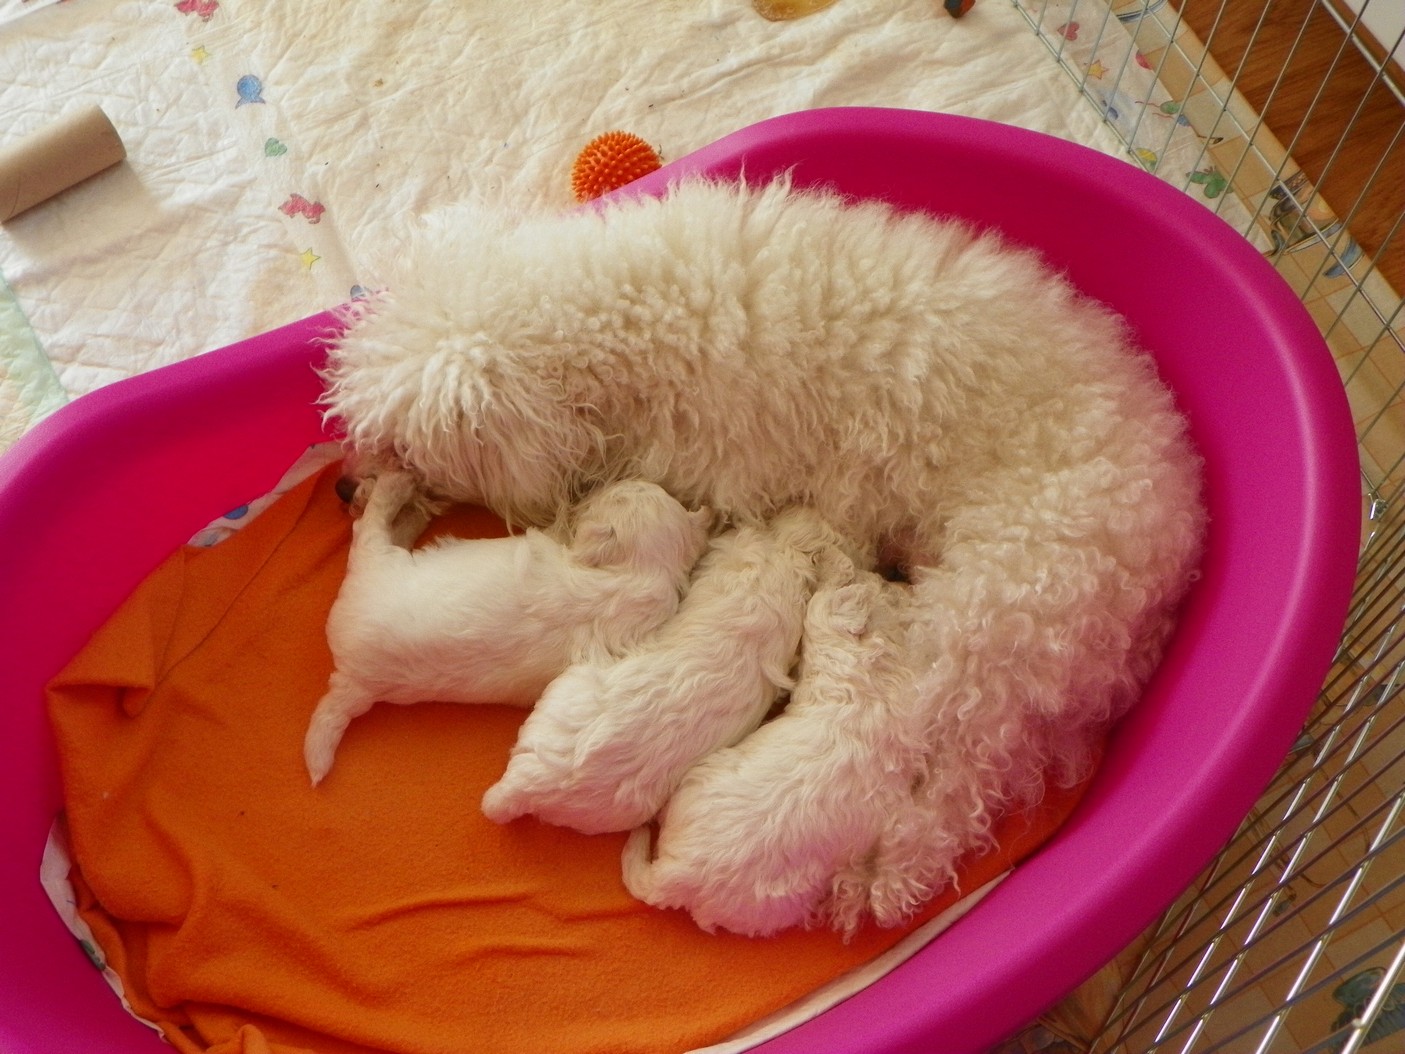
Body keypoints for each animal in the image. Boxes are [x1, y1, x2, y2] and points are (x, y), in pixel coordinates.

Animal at [303, 470, 712, 785]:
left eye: (612, 495)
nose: (597, 485)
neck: (644, 570)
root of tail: (352, 677)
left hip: (375, 560)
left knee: (370, 525)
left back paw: (398, 491)